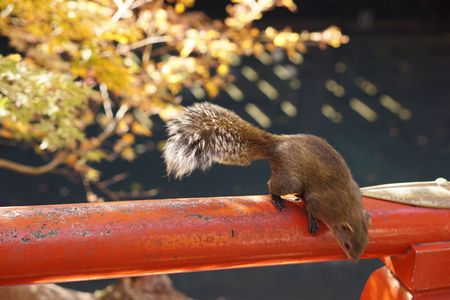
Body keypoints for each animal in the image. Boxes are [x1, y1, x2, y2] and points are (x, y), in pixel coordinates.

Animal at [163, 102, 370, 258]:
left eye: (364, 245)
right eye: (347, 244)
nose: (353, 259)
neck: (347, 207)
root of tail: (276, 145)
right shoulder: (322, 202)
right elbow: (311, 207)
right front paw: (313, 223)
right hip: (289, 178)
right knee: (272, 185)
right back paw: (278, 199)